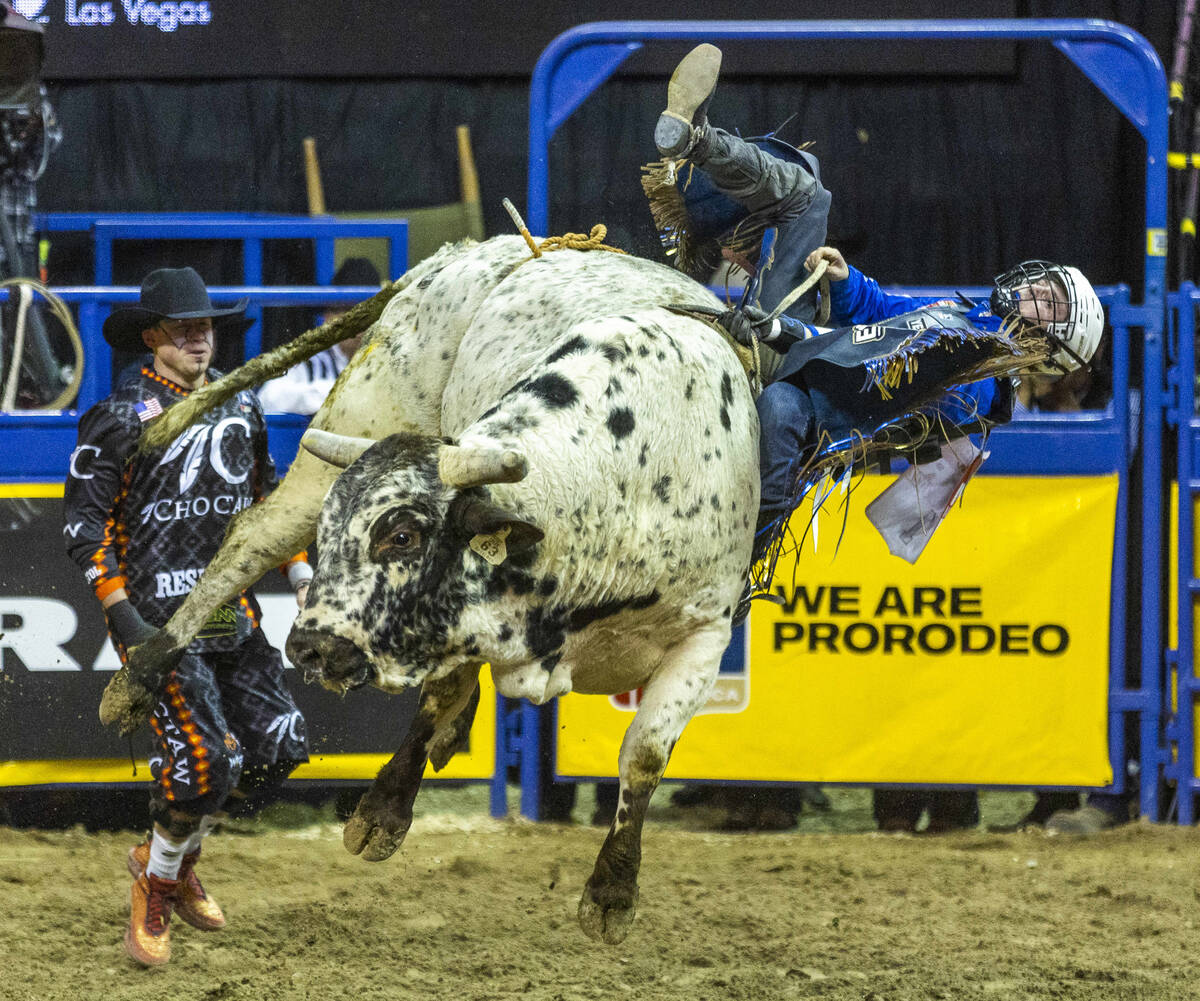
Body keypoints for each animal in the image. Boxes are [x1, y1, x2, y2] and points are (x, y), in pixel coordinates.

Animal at [105, 230, 758, 940]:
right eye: (333, 531)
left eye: (402, 535)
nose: (309, 647)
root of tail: (460, 250)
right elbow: (437, 694)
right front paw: (382, 813)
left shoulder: (705, 634)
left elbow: (643, 755)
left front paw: (612, 892)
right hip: (355, 417)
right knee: (251, 541)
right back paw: (137, 679)